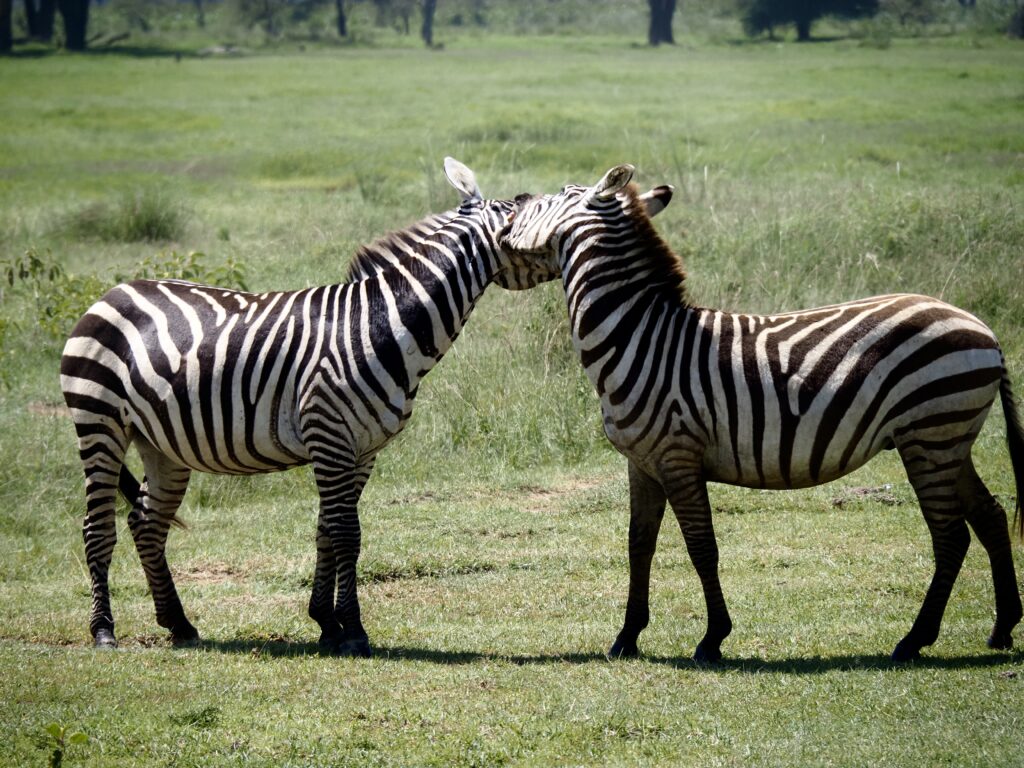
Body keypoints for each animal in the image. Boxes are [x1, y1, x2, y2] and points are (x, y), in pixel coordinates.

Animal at [61, 159, 561, 659]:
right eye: (525, 222)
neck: (382, 324)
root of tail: (112, 292)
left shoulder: (361, 450)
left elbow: (327, 531)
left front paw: (326, 622)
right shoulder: (329, 433)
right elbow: (346, 533)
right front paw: (353, 630)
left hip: (162, 443)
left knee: (146, 522)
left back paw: (179, 624)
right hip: (99, 422)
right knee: (97, 526)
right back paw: (103, 631)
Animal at [501, 165, 1024, 663]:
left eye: (558, 193)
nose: (516, 200)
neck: (639, 337)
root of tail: (985, 331)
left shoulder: (677, 454)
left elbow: (701, 547)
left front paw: (713, 638)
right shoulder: (642, 462)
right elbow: (639, 545)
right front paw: (627, 637)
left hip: (929, 435)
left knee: (951, 535)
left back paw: (914, 640)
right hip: (946, 440)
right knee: (991, 516)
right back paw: (1002, 627)